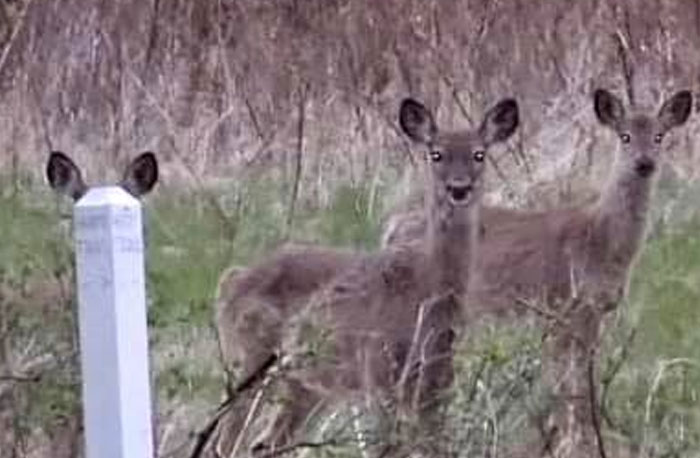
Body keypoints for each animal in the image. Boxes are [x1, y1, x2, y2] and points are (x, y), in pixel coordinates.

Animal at [214, 96, 519, 457]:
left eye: (479, 154)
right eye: (436, 153)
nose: (459, 189)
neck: (428, 285)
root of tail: (231, 280)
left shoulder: (435, 378)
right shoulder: (378, 371)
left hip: (305, 383)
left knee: (264, 443)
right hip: (249, 359)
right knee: (226, 441)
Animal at [381, 88, 694, 457]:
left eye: (659, 136)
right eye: (625, 136)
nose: (644, 163)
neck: (600, 241)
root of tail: (392, 226)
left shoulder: (591, 314)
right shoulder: (563, 307)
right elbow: (570, 387)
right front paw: (575, 441)